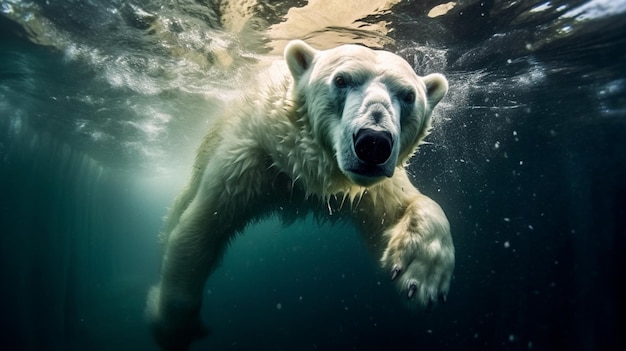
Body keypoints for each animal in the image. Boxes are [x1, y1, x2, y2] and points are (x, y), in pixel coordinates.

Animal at [146, 40, 454, 350]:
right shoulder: (250, 155)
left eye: (408, 95)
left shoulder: (367, 184)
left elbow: (400, 207)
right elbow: (201, 225)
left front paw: (422, 275)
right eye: (341, 80)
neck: (303, 168)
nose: (374, 142)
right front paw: (172, 326)